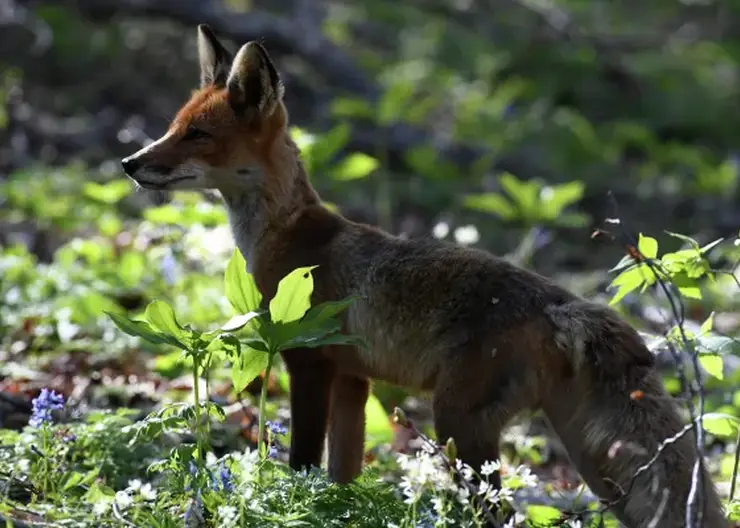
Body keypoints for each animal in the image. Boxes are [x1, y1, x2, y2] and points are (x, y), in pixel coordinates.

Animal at [123, 24, 728, 528]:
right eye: (174, 126)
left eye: (197, 135)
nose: (130, 162)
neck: (288, 235)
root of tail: (565, 304)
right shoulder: (353, 379)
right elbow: (341, 476)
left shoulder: (308, 362)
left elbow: (301, 466)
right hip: (589, 459)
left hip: (458, 422)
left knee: (500, 513)